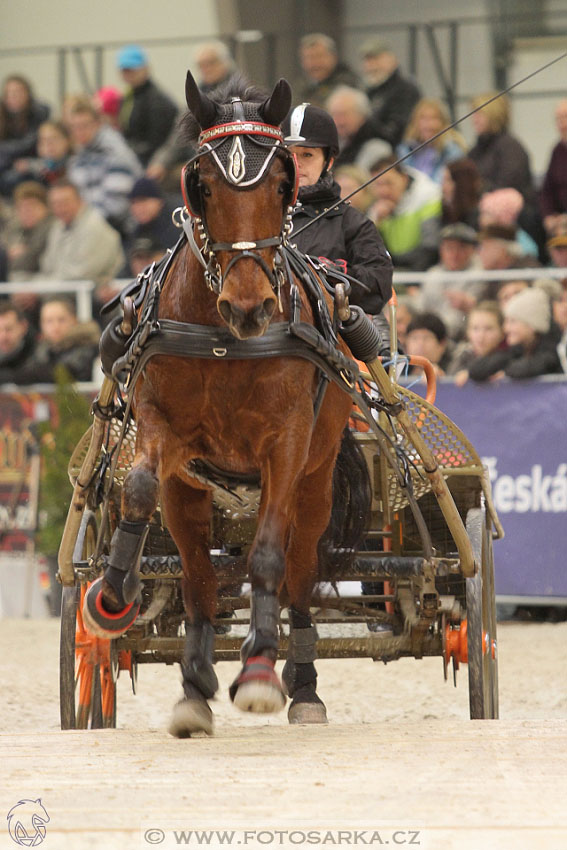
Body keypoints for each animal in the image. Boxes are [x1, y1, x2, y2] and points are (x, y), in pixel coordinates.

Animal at [82, 71, 370, 736]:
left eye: (282, 183)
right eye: (203, 186)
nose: (249, 307)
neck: (225, 342)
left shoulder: (285, 446)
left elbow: (266, 557)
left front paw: (261, 671)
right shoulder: (167, 435)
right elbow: (140, 491)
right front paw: (112, 591)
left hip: (314, 484)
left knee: (298, 571)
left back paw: (300, 682)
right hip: (190, 493)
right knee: (200, 578)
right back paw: (194, 683)